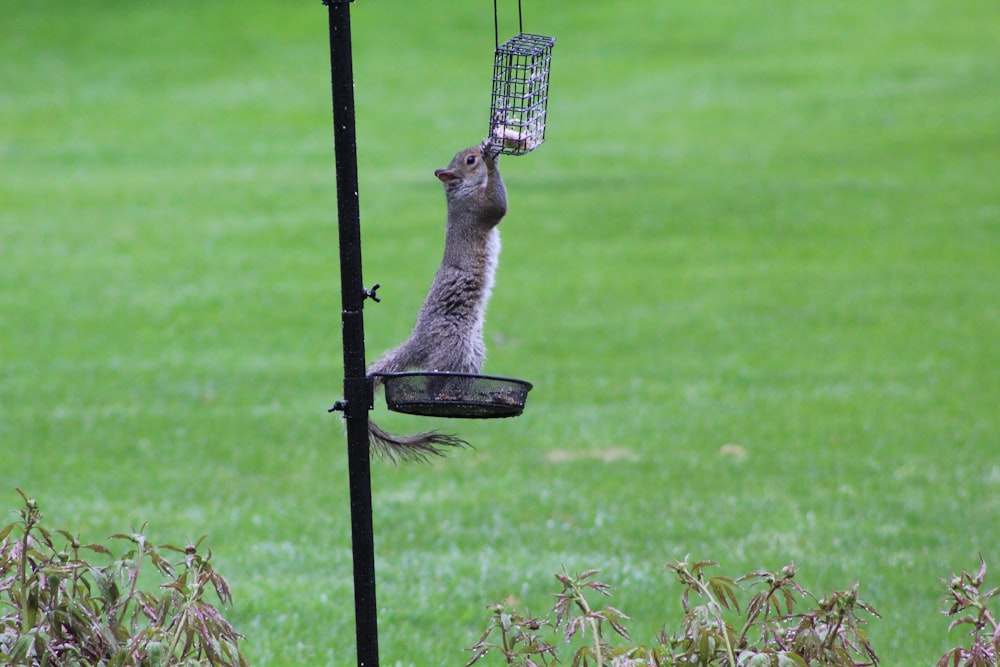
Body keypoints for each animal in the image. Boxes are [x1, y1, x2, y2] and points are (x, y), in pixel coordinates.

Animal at [366, 141, 508, 464]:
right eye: (470, 160)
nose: (481, 148)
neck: (458, 190)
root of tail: (420, 340)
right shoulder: (476, 209)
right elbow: (498, 205)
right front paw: (493, 162)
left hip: (472, 352)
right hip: (454, 343)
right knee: (433, 379)